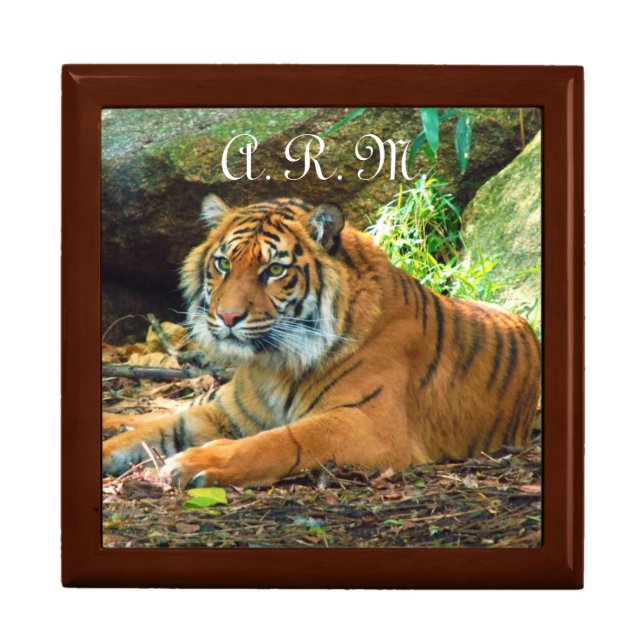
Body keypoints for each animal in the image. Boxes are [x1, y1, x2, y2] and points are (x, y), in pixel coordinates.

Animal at [102, 194, 541, 488]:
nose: (227, 317)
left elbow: (279, 441)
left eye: (274, 270)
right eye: (223, 263)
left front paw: (195, 463)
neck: (273, 364)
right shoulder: (227, 413)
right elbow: (151, 430)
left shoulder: (367, 424)